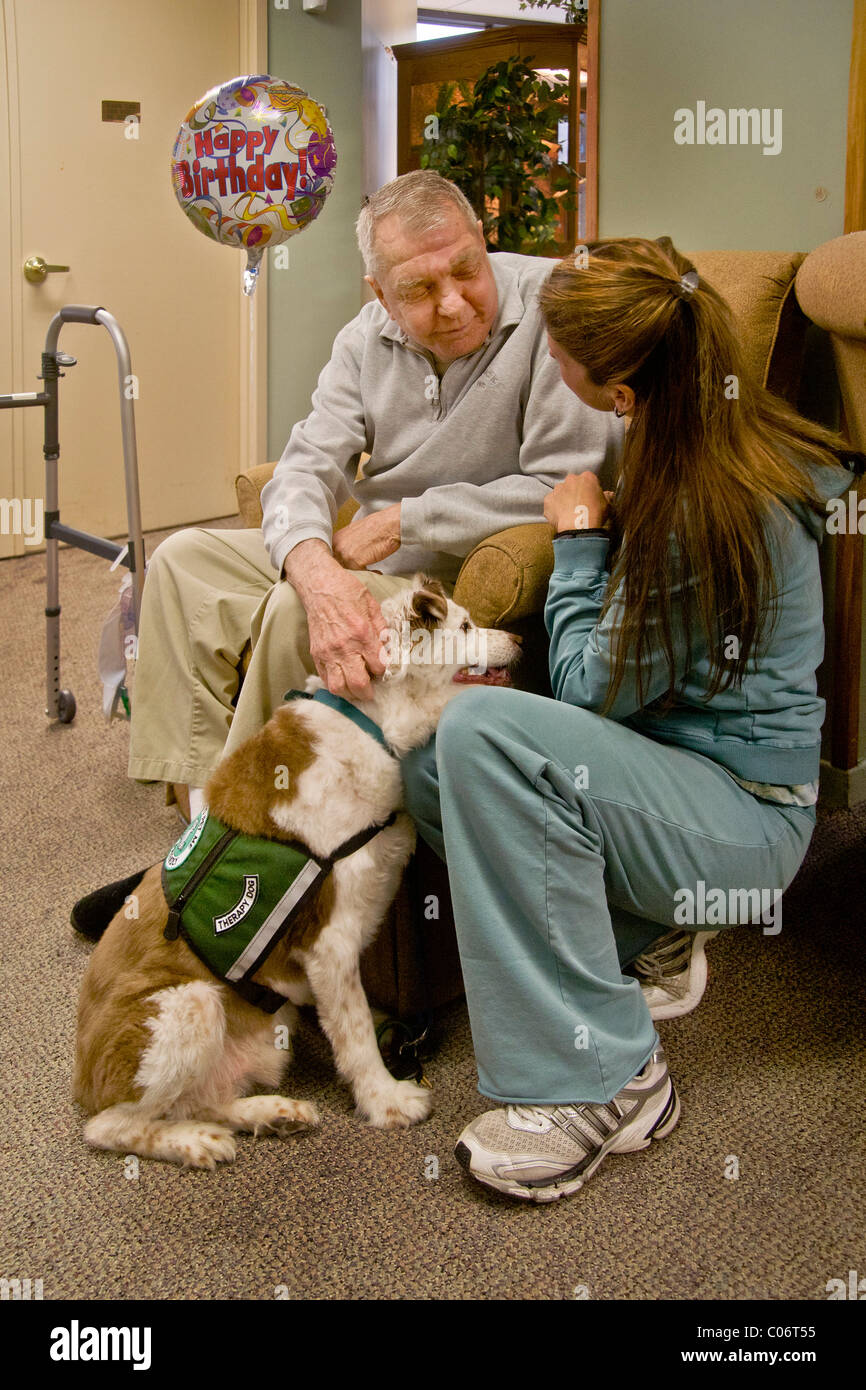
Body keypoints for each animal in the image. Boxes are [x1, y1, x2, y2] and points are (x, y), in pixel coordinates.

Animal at [74, 581, 517, 1167]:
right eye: (464, 628)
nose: (520, 639)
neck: (368, 725)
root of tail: (82, 1083)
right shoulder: (328, 943)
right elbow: (355, 1032)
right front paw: (386, 1100)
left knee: (201, 1099)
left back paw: (271, 1114)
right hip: (189, 1003)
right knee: (116, 1125)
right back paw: (195, 1142)